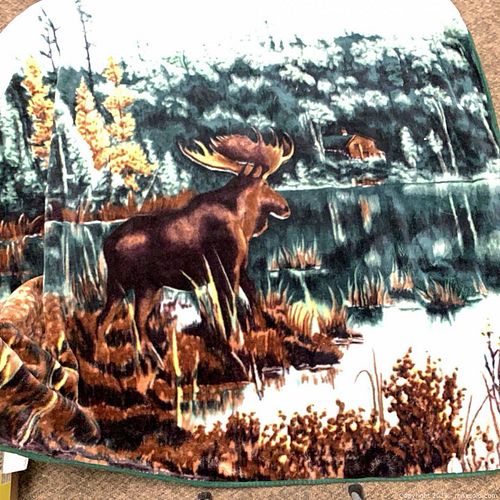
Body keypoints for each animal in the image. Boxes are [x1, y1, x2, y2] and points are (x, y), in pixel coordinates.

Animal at [97, 129, 294, 362]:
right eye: (266, 184)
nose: (286, 207)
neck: (243, 220)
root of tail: (106, 244)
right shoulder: (226, 268)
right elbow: (231, 306)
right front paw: (236, 343)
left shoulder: (240, 266)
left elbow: (252, 295)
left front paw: (260, 327)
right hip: (119, 283)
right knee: (103, 319)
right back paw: (101, 356)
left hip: (148, 286)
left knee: (137, 321)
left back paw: (152, 356)